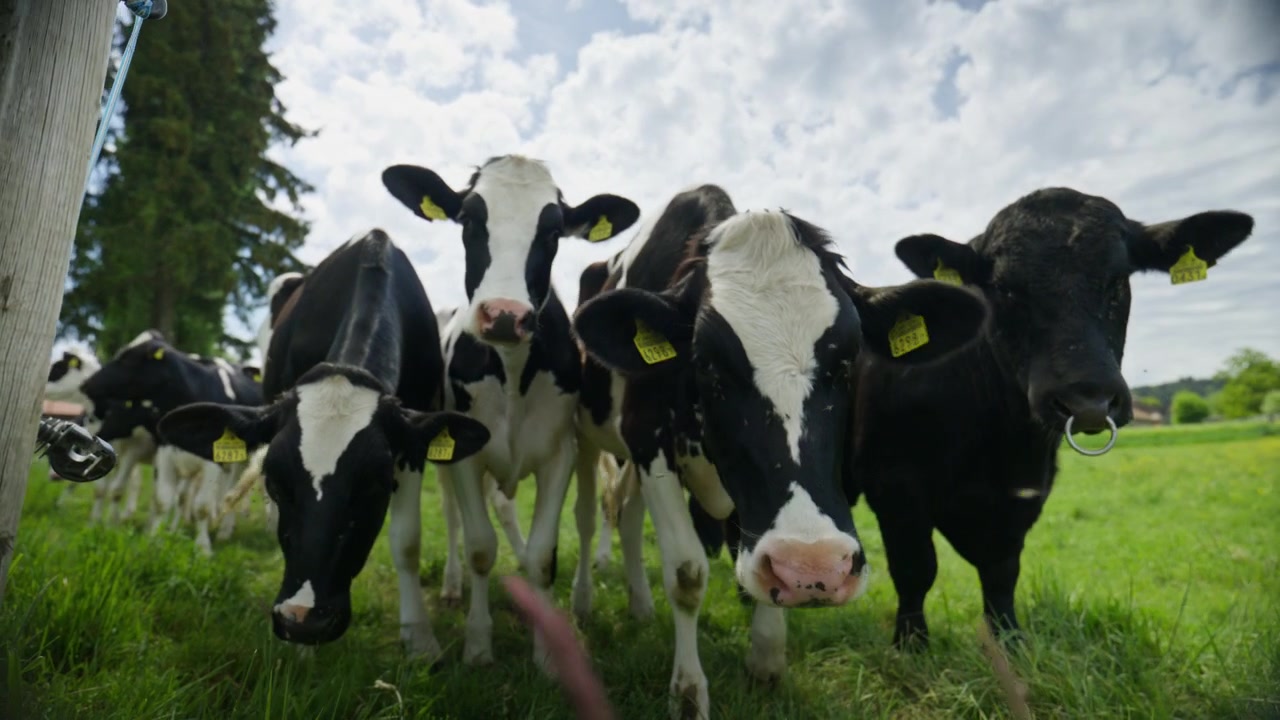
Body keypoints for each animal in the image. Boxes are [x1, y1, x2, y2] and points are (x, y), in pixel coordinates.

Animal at [155, 230, 491, 658]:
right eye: (275, 483)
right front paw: (303, 653)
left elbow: (407, 541)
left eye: (375, 486)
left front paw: (419, 637)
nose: (302, 620)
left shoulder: (411, 448)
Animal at [380, 154, 640, 669]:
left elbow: (543, 554)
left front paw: (547, 653)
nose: (503, 314)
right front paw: (478, 644)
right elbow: (480, 545)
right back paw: (452, 587)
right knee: (455, 520)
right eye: (468, 219)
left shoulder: (560, 454)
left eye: (554, 231)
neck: (513, 373)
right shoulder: (465, 455)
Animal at [570, 185, 990, 720]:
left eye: (849, 360)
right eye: (707, 362)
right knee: (590, 514)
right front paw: (688, 693)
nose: (814, 569)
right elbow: (687, 573)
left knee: (626, 514)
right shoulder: (649, 443)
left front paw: (766, 660)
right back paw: (584, 602)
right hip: (585, 437)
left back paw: (641, 607)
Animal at [847, 187, 1255, 650]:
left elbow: (1001, 576)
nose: (1088, 400)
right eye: (1005, 290)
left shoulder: (1024, 497)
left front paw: (1010, 643)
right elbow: (915, 571)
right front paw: (911, 646)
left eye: (1118, 281)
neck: (1001, 445)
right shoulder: (894, 487)